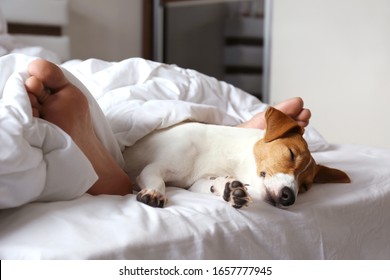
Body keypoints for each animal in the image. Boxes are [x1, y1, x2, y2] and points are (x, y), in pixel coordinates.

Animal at [124, 106, 350, 208]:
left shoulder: (197, 182)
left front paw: (231, 190)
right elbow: (157, 180)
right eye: (291, 154)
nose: (289, 197)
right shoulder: (153, 168)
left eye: (304, 187)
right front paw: (155, 192)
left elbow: (211, 185)